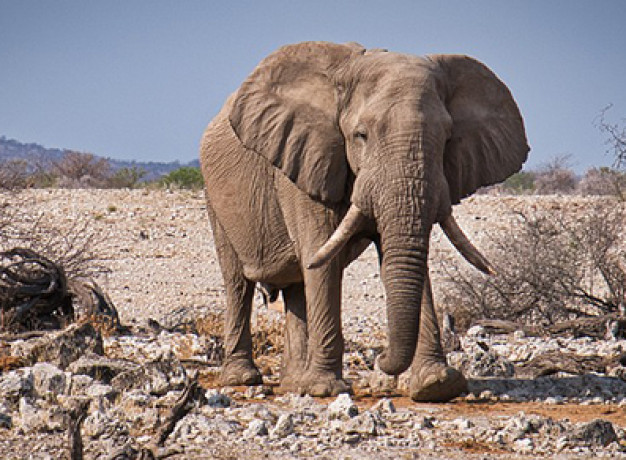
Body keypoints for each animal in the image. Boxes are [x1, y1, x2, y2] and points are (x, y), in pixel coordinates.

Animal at [201, 42, 528, 402]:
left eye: (446, 139)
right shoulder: (306, 161)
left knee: (297, 287)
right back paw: (244, 378)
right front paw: (325, 389)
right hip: (215, 198)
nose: (381, 360)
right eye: (361, 135)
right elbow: (321, 258)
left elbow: (401, 257)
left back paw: (293, 383)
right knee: (238, 283)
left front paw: (437, 385)